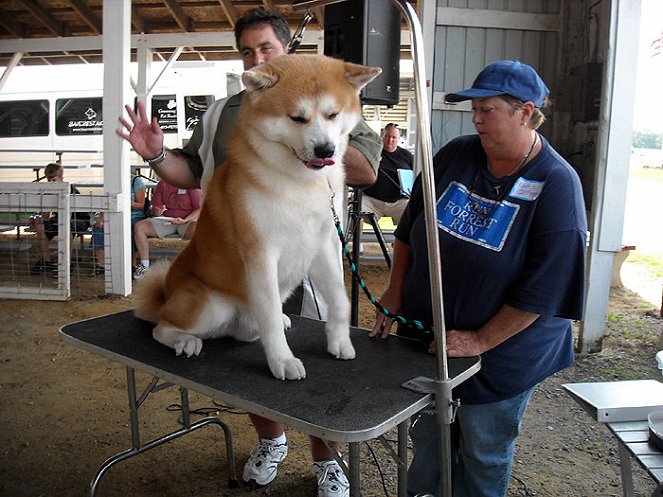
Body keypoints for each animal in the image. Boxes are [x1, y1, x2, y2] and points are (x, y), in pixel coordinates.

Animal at [133, 54, 382, 378]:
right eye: (297, 117)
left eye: (333, 114)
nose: (325, 149)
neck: (299, 182)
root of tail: (166, 296)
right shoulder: (261, 253)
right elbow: (271, 316)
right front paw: (282, 361)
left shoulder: (325, 243)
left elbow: (339, 300)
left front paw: (339, 342)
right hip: (210, 305)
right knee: (161, 328)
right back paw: (184, 341)